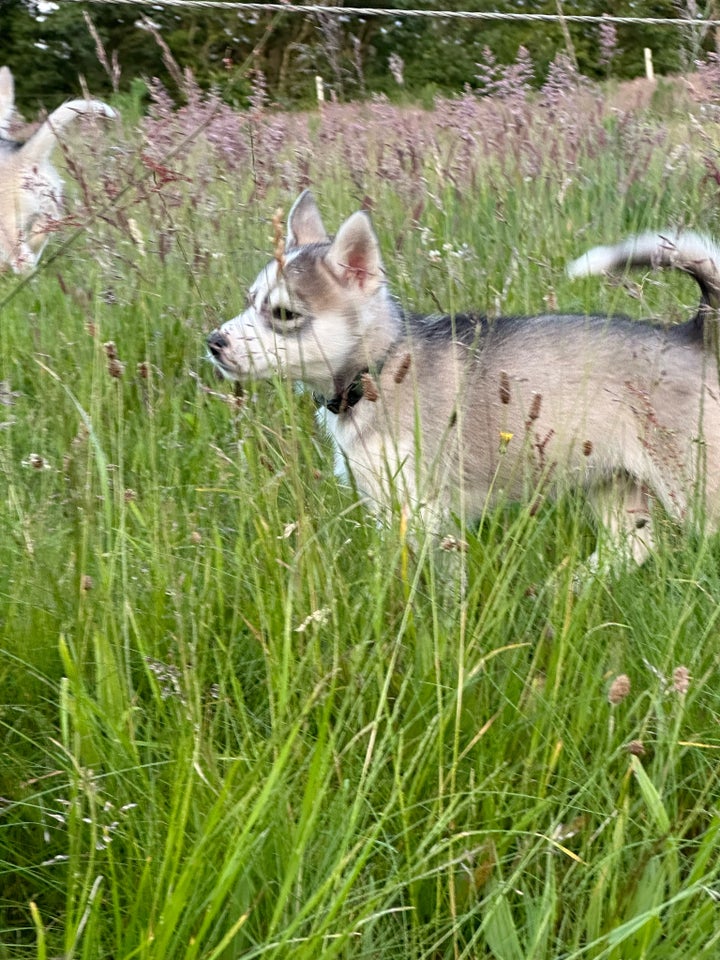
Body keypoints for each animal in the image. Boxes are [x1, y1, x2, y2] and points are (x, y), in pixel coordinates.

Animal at [205, 193, 720, 568]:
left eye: (283, 314)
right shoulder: (386, 506)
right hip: (613, 483)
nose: (214, 342)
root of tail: (694, 333)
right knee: (634, 547)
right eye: (249, 300)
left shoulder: (424, 511)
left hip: (694, 492)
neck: (379, 370)